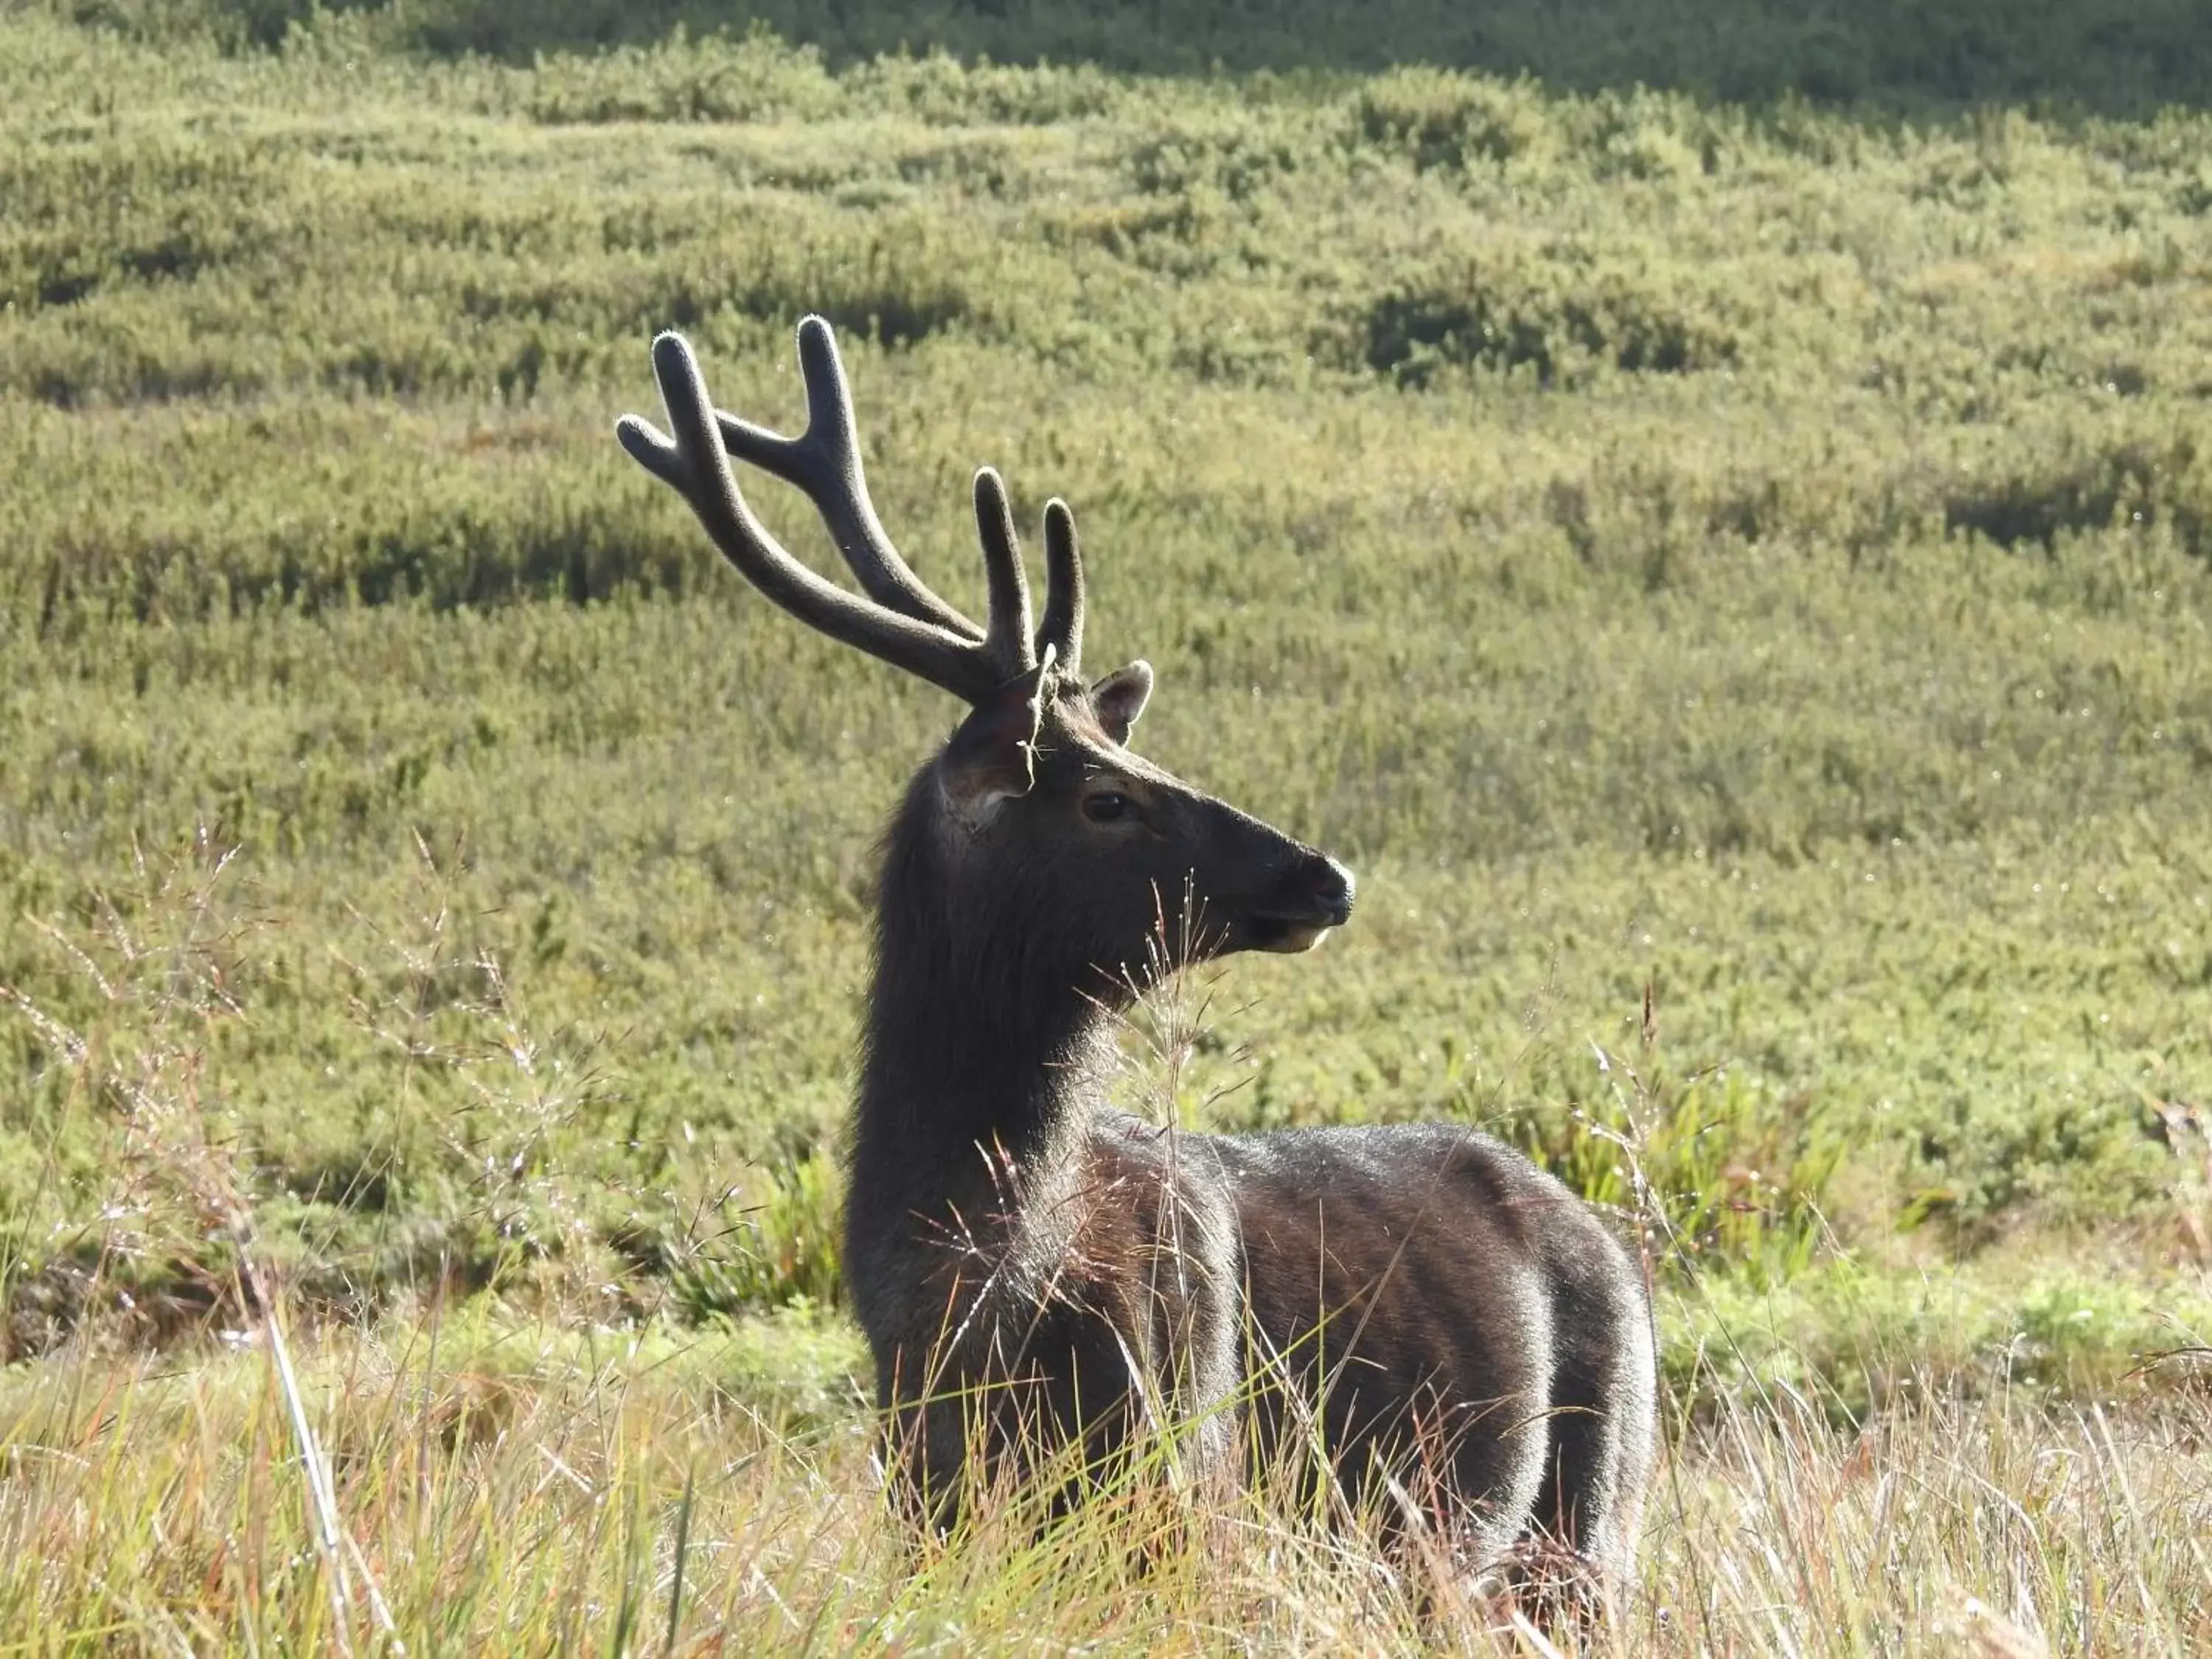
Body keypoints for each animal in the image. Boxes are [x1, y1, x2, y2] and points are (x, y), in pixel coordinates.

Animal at [615, 314, 1655, 1601]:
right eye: (1107, 794)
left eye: (1137, 754)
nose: (1324, 874)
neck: (970, 1313)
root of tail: (1612, 1243)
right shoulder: (923, 1503)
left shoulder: (1189, 1486)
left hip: (1591, 1520)